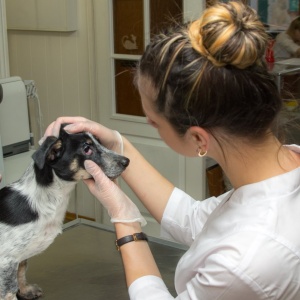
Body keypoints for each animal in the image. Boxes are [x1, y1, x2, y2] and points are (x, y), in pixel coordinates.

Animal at [0, 125, 127, 300]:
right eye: (87, 149)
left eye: (100, 141)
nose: (127, 161)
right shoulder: (6, 260)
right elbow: (9, 291)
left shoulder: (18, 256)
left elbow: (22, 268)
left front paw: (25, 290)